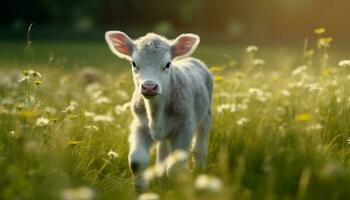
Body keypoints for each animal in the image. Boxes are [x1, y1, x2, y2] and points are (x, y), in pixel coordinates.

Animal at [104, 30, 213, 189]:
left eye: (167, 64)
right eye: (134, 63)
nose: (149, 87)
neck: (156, 112)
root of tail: (192, 60)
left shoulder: (185, 126)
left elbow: (175, 167)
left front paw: (175, 189)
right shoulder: (140, 125)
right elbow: (137, 161)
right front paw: (141, 188)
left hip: (206, 115)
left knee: (199, 146)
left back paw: (200, 169)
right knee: (163, 150)